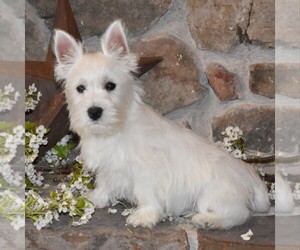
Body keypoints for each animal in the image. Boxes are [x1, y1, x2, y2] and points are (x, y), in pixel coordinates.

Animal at [52, 20, 270, 229]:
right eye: (80, 88)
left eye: (110, 85)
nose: (94, 111)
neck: (115, 130)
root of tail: (253, 180)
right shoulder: (108, 167)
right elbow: (105, 183)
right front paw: (95, 199)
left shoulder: (147, 169)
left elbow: (146, 192)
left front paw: (144, 216)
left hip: (214, 194)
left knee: (239, 213)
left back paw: (207, 221)